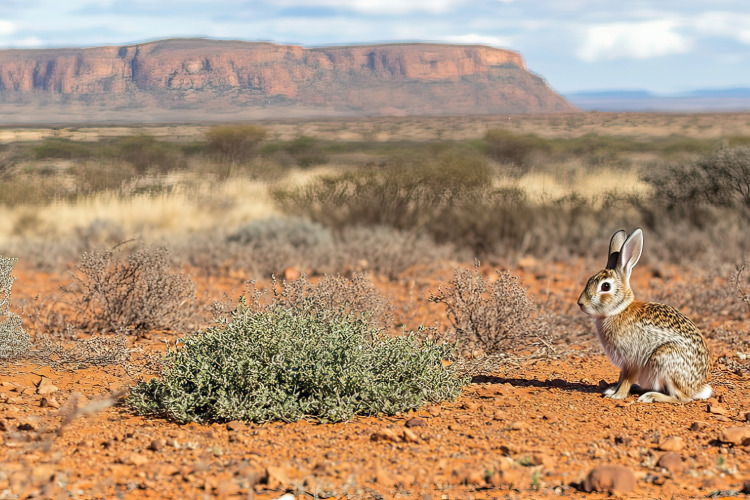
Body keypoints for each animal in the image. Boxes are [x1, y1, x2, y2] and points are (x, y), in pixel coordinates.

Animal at [577, 228, 712, 403]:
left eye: (605, 286)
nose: (580, 303)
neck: (619, 310)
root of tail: (698, 387)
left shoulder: (632, 359)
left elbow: (626, 379)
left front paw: (617, 395)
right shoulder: (624, 364)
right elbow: (621, 377)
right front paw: (611, 390)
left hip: (664, 359)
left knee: (682, 398)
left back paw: (650, 396)